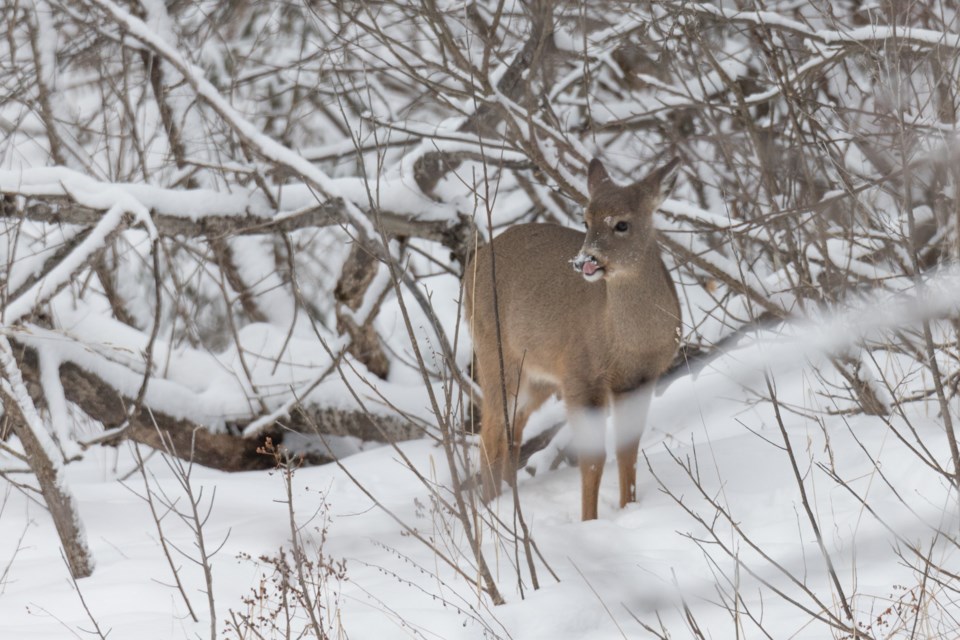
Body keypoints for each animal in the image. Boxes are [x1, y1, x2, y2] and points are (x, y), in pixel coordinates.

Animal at [464, 158, 684, 524]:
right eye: (586, 220)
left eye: (622, 224)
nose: (585, 261)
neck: (629, 342)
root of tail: (471, 267)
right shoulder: (581, 376)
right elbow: (592, 460)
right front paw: (590, 522)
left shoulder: (639, 379)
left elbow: (627, 449)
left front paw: (628, 508)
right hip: (494, 353)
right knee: (489, 434)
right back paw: (494, 511)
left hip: (536, 377)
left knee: (511, 434)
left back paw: (508, 500)